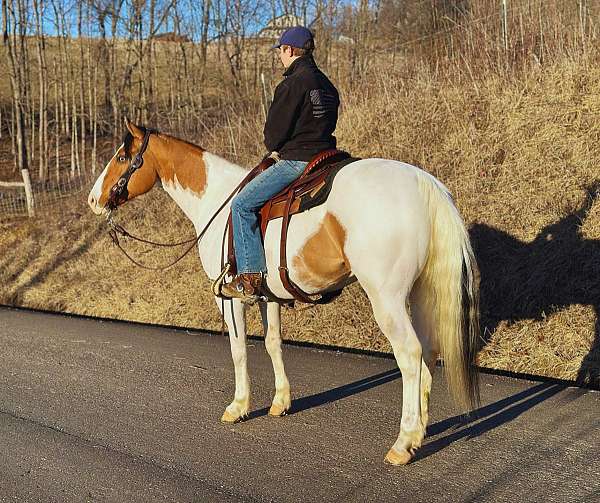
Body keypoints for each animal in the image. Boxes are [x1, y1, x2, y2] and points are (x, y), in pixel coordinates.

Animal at [86, 120, 480, 466]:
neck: (216, 200)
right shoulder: (268, 297)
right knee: (428, 352)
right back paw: (420, 433)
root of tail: (423, 182)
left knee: (410, 356)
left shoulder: (228, 299)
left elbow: (239, 350)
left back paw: (402, 443)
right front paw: (280, 401)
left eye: (121, 157)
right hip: (420, 293)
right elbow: (273, 343)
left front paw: (239, 406)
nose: (92, 200)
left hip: (387, 299)